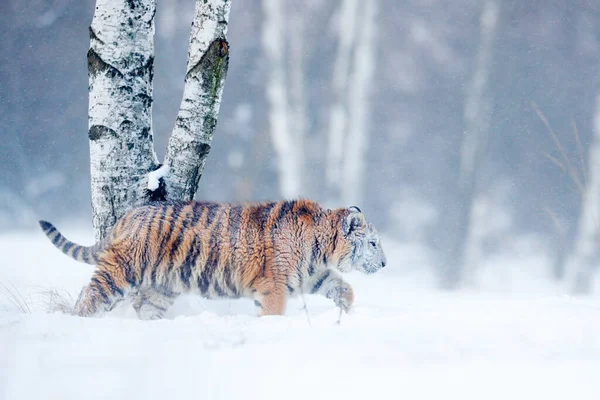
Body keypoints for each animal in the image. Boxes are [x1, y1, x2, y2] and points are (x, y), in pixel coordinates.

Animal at [37, 198, 386, 320]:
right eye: (373, 243)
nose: (384, 264)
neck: (321, 247)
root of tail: (130, 214)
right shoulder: (274, 284)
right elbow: (273, 311)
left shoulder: (313, 275)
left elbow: (344, 287)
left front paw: (345, 313)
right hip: (121, 271)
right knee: (91, 296)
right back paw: (81, 321)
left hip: (163, 286)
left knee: (145, 308)